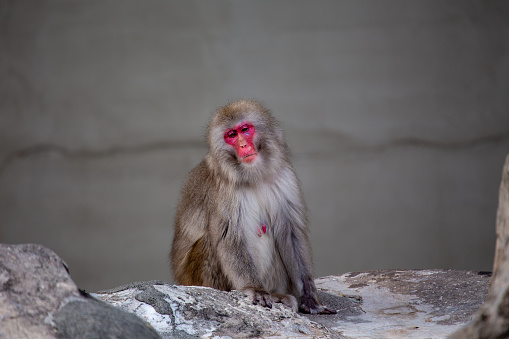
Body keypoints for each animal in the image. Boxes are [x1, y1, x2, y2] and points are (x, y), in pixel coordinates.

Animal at [171, 99, 336, 314]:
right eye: (231, 135)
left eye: (245, 129)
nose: (242, 145)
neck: (254, 176)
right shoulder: (225, 190)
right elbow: (229, 238)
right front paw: (255, 289)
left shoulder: (285, 177)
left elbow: (291, 233)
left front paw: (310, 297)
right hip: (197, 278)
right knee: (210, 241)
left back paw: (276, 294)